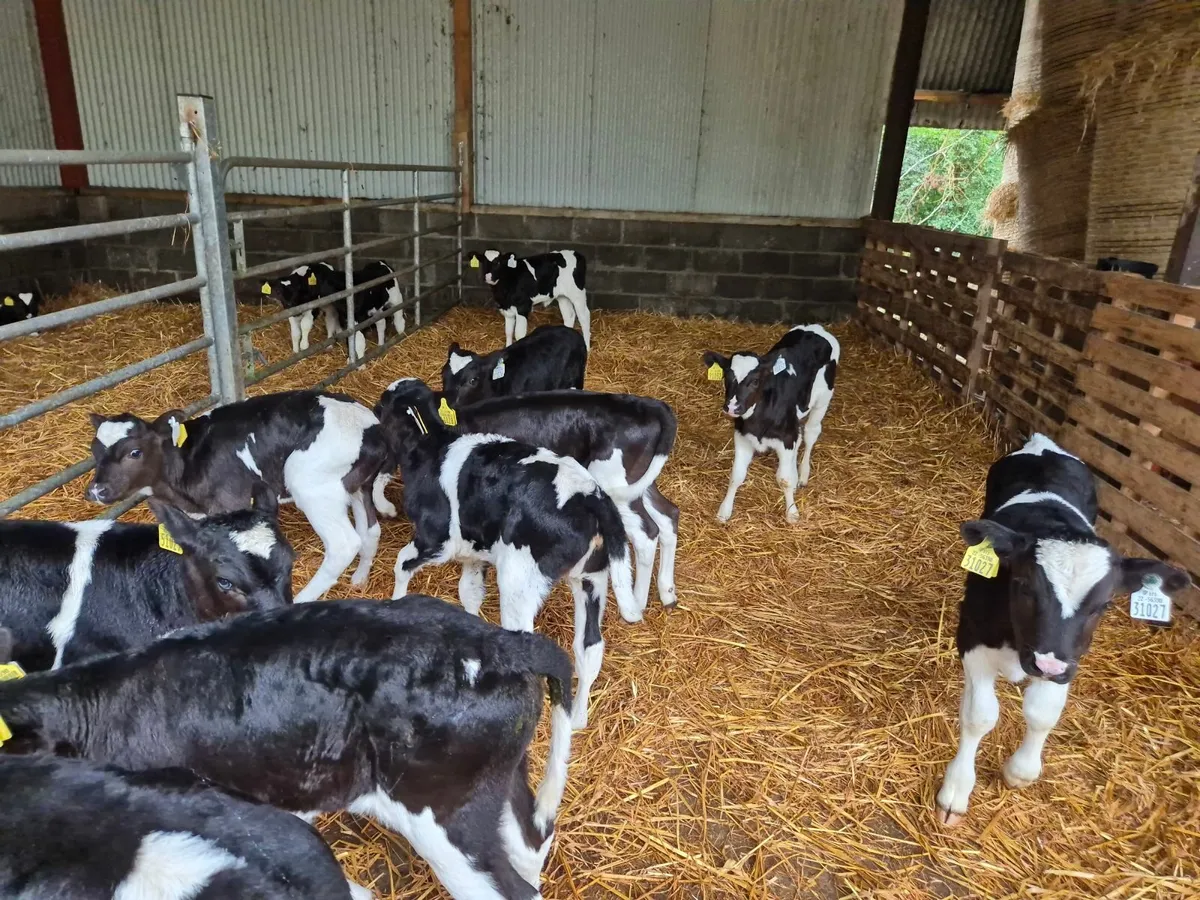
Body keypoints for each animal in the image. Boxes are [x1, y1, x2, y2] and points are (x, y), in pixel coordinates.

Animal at [85, 390, 392, 604]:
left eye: (134, 452)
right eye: (94, 450)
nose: (96, 491)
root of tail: (372, 427)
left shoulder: (233, 504)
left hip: (313, 487)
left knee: (343, 544)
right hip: (357, 487)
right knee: (370, 530)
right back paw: (360, 577)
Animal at [703, 324, 840, 523]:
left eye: (755, 381)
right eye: (726, 377)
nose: (732, 407)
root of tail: (815, 328)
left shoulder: (786, 438)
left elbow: (784, 480)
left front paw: (792, 512)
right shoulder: (742, 437)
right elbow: (736, 476)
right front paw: (724, 510)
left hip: (823, 400)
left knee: (810, 433)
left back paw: (803, 473)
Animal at [935, 433, 1192, 826]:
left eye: (1103, 605)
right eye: (1024, 585)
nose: (1046, 665)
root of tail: (1042, 443)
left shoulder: (1069, 657)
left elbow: (1042, 712)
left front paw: (1021, 770)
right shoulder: (972, 635)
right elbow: (980, 715)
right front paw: (956, 791)